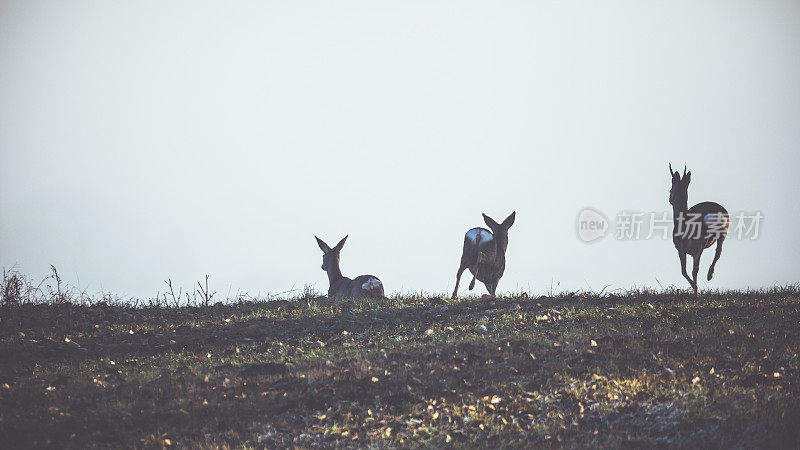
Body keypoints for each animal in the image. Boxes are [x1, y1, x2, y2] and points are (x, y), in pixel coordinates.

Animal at [668, 164, 732, 296]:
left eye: (670, 190)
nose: (669, 198)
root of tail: (716, 212)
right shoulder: (692, 251)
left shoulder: (680, 247)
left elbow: (683, 270)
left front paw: (694, 287)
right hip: (723, 232)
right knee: (718, 252)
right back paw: (709, 276)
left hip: (701, 237)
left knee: (694, 268)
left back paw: (697, 289)